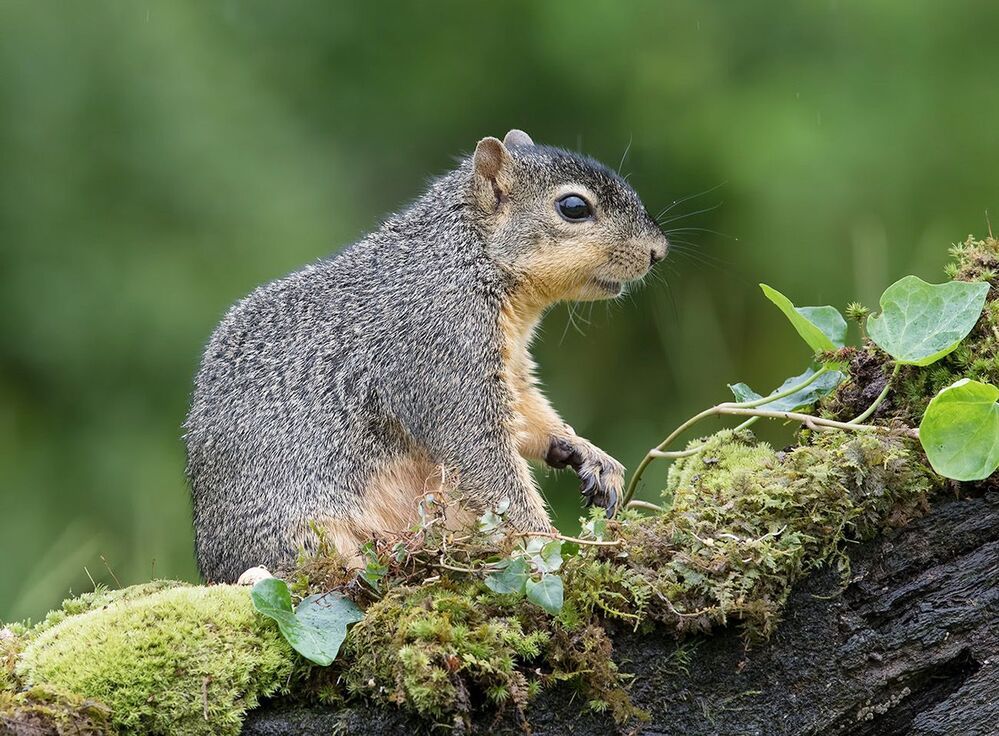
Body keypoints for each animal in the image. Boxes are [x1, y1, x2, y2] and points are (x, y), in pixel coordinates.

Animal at [185, 130, 669, 583]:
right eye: (573, 207)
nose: (658, 251)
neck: (466, 259)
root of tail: (214, 565)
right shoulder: (442, 352)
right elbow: (480, 456)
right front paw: (553, 546)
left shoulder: (510, 369)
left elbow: (527, 413)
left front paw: (587, 454)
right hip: (305, 533)